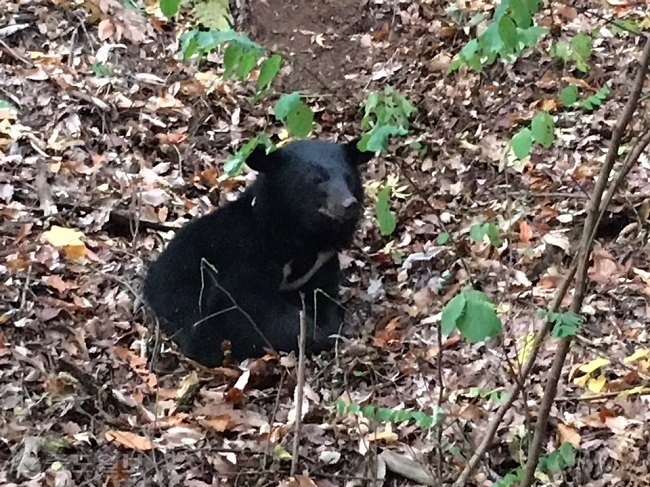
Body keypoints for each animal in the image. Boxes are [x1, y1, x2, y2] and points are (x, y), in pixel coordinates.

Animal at [144, 139, 372, 368]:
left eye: (348, 177)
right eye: (316, 179)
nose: (349, 204)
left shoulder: (323, 263)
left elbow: (326, 298)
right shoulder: (245, 260)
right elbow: (253, 305)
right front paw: (315, 335)